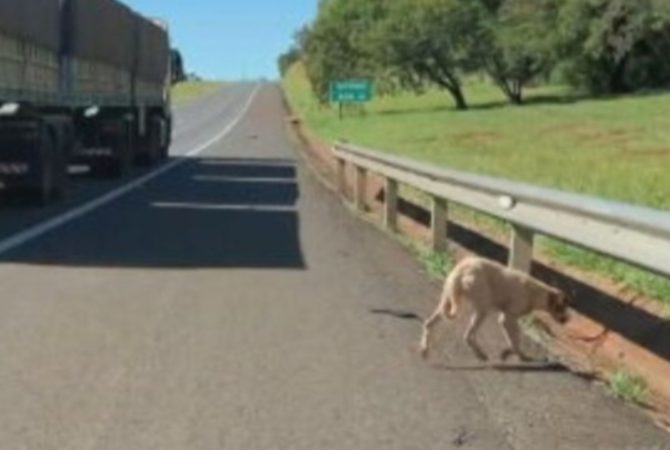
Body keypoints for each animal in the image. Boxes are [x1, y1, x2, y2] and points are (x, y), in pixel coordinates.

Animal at [420, 256, 572, 362]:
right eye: (560, 307)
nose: (567, 320)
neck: (535, 292)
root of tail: (461, 269)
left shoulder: (505, 319)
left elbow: (513, 339)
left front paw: (513, 353)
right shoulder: (508, 318)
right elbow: (515, 339)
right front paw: (514, 354)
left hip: (446, 303)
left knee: (428, 324)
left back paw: (425, 349)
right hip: (480, 310)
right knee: (468, 336)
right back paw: (481, 354)